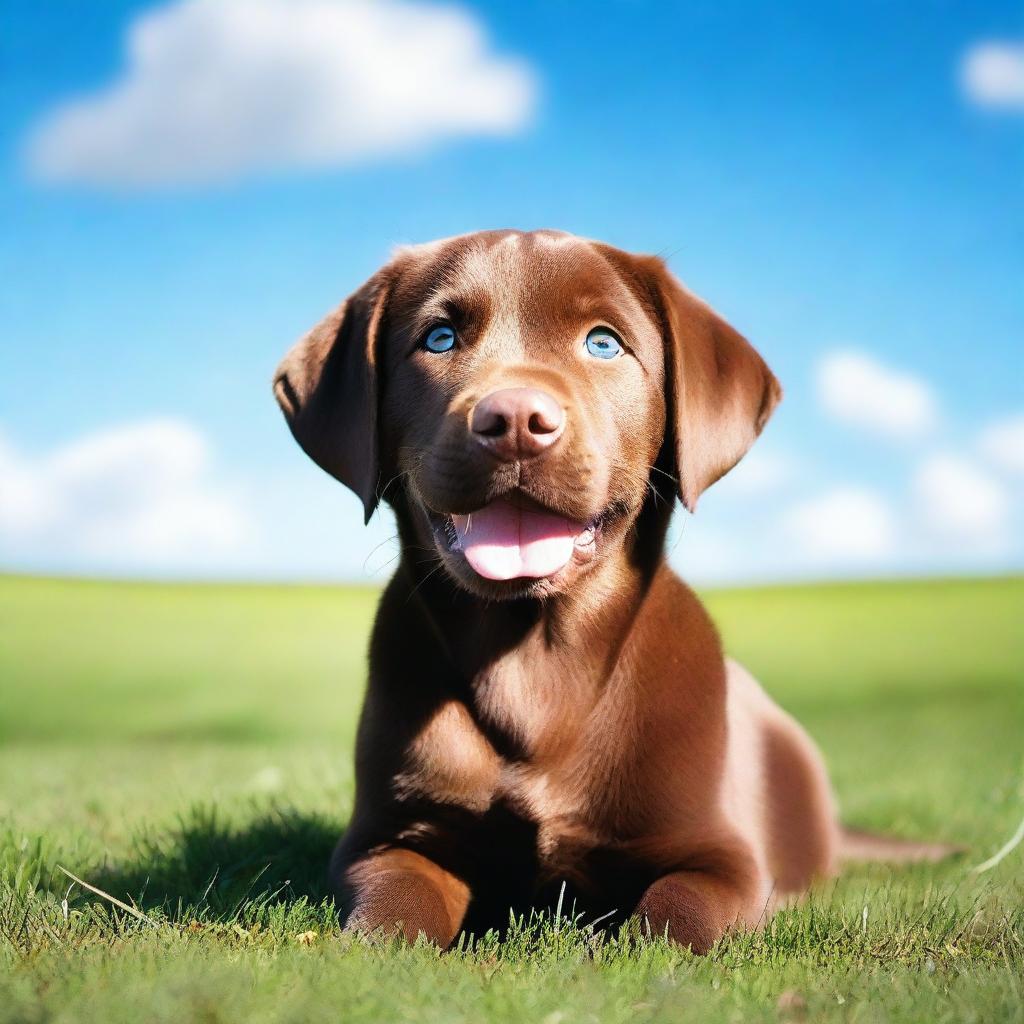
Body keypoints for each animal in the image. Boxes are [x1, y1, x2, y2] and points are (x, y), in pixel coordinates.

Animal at [272, 228, 950, 946]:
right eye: (439, 337)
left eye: (603, 343)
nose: (515, 419)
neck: (532, 662)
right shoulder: (388, 839)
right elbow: (392, 909)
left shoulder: (724, 860)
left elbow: (675, 918)